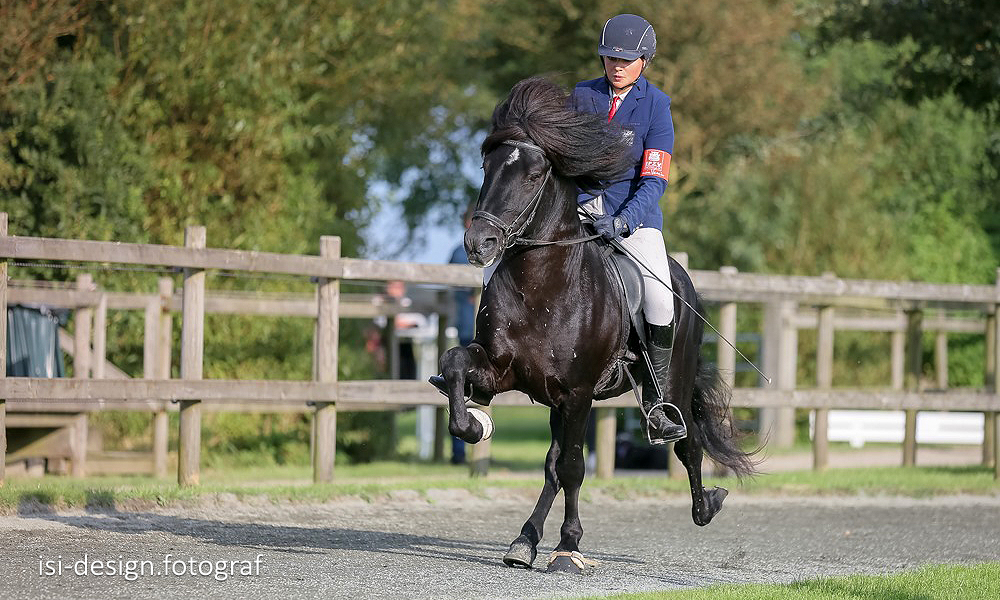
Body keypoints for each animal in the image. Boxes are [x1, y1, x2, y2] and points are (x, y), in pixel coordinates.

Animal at [434, 77, 752, 576]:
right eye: (487, 166)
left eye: (532, 175)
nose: (478, 243)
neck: (540, 284)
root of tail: (684, 280)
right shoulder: (505, 372)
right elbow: (454, 364)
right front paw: (475, 424)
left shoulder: (579, 393)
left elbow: (574, 468)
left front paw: (569, 547)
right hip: (554, 402)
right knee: (551, 464)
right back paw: (524, 541)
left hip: (670, 384)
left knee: (688, 443)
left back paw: (707, 505)